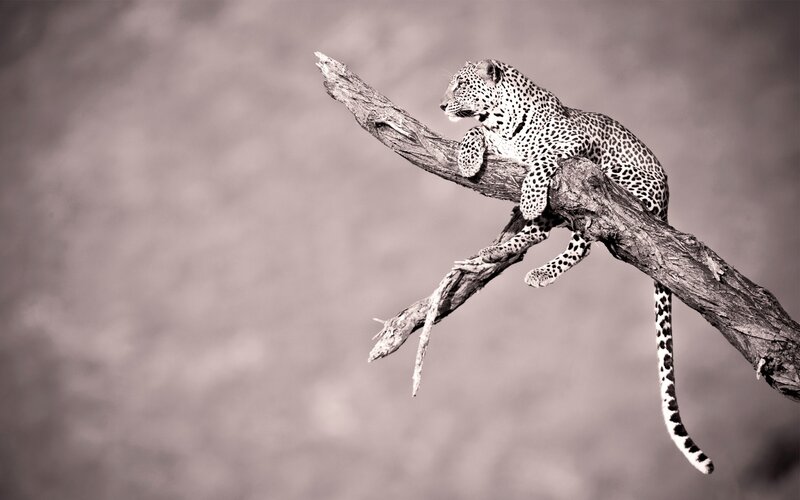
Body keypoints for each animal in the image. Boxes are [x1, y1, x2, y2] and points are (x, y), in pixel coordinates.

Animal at [440, 59, 714, 474]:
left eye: (461, 85)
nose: (441, 105)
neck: (500, 121)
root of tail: (666, 205)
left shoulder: (572, 143)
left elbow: (540, 159)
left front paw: (530, 195)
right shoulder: (495, 139)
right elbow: (473, 131)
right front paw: (469, 160)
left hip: (608, 188)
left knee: (584, 240)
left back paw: (536, 262)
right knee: (542, 234)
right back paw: (496, 252)